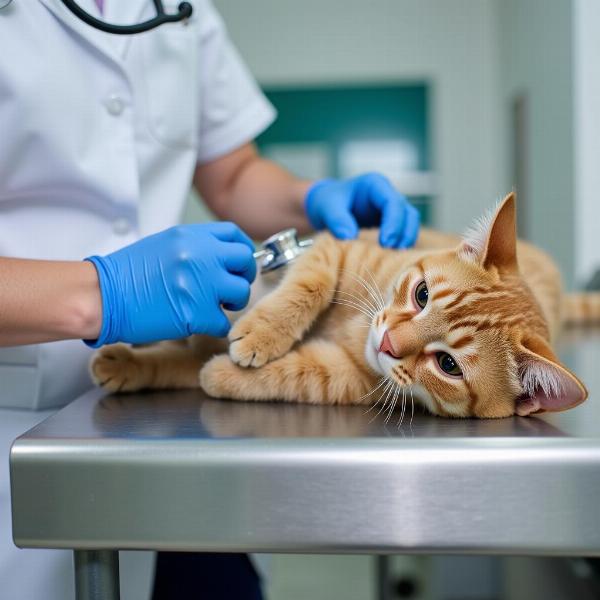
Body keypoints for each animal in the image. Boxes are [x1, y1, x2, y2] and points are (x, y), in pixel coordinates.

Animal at [90, 195, 596, 420]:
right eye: (422, 295)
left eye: (449, 364)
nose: (387, 341)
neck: (353, 325)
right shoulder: (334, 248)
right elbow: (308, 285)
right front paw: (263, 329)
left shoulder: (340, 376)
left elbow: (283, 374)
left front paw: (221, 373)